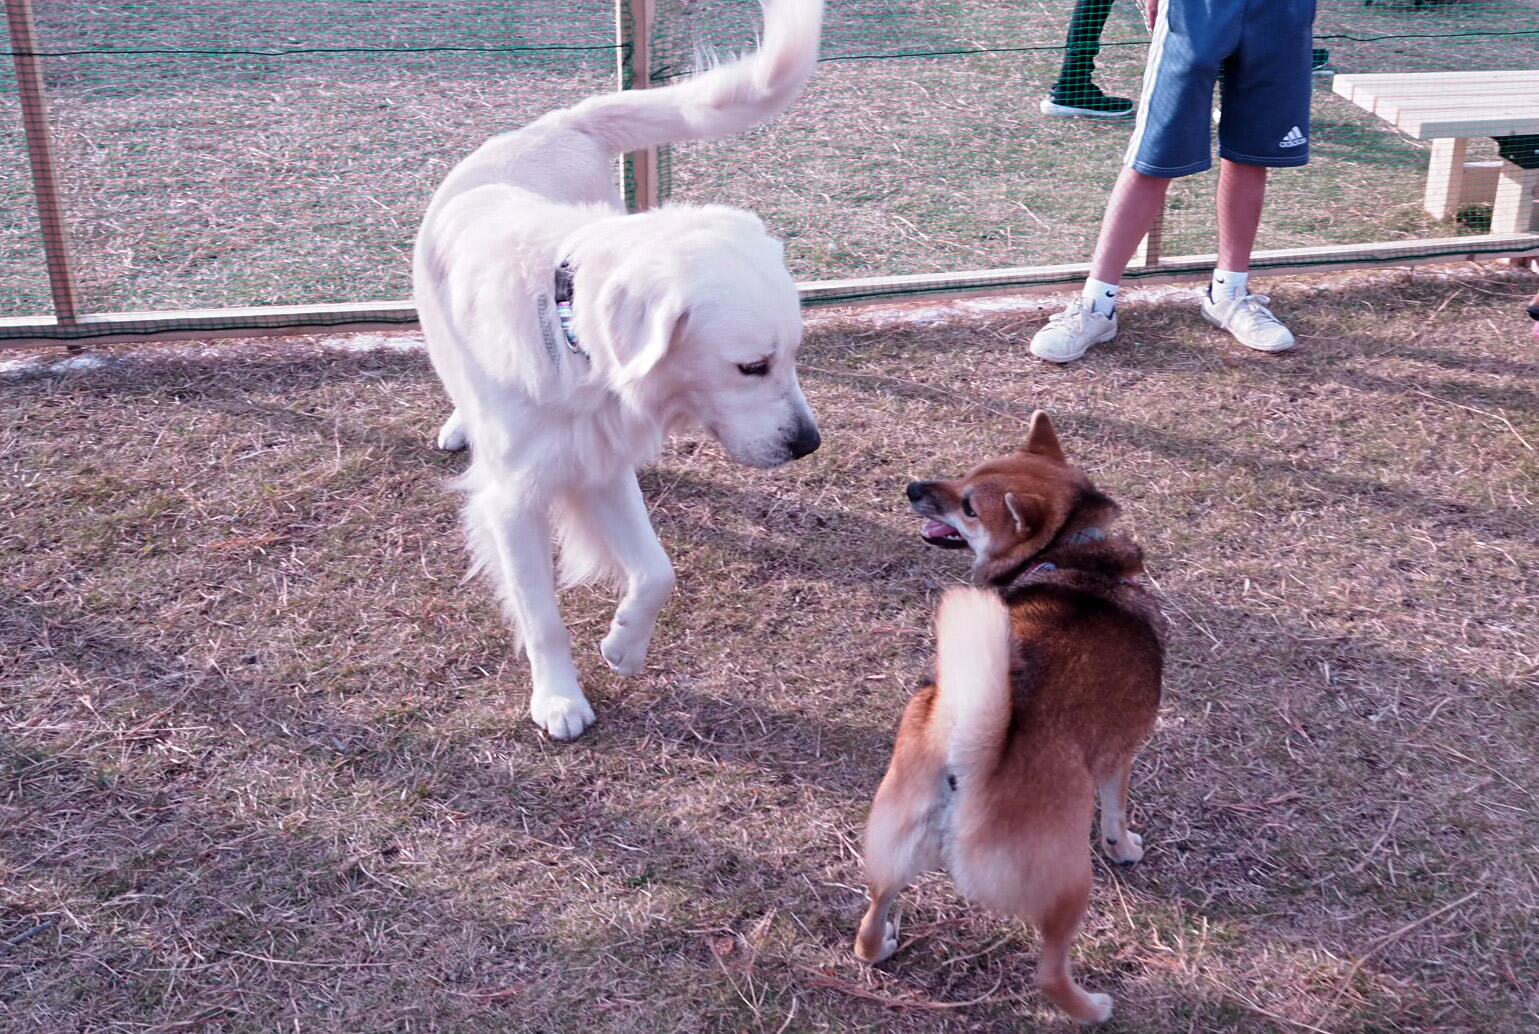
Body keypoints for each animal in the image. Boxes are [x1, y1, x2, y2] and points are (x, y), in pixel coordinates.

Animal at [409, 0, 818, 744]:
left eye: (795, 356)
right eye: (752, 367)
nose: (809, 445)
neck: (569, 339)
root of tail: (554, 124)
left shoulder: (600, 462)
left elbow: (657, 570)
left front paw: (624, 645)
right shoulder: (512, 501)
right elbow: (541, 615)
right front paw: (558, 698)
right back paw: (460, 422)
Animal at [855, 412, 1163, 1027]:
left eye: (969, 501)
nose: (913, 488)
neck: (1073, 554)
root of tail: (969, 754)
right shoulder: (1121, 755)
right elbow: (1116, 813)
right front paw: (1125, 847)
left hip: (891, 838)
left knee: (870, 923)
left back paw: (884, 943)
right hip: (1068, 884)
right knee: (1049, 973)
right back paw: (1093, 1008)